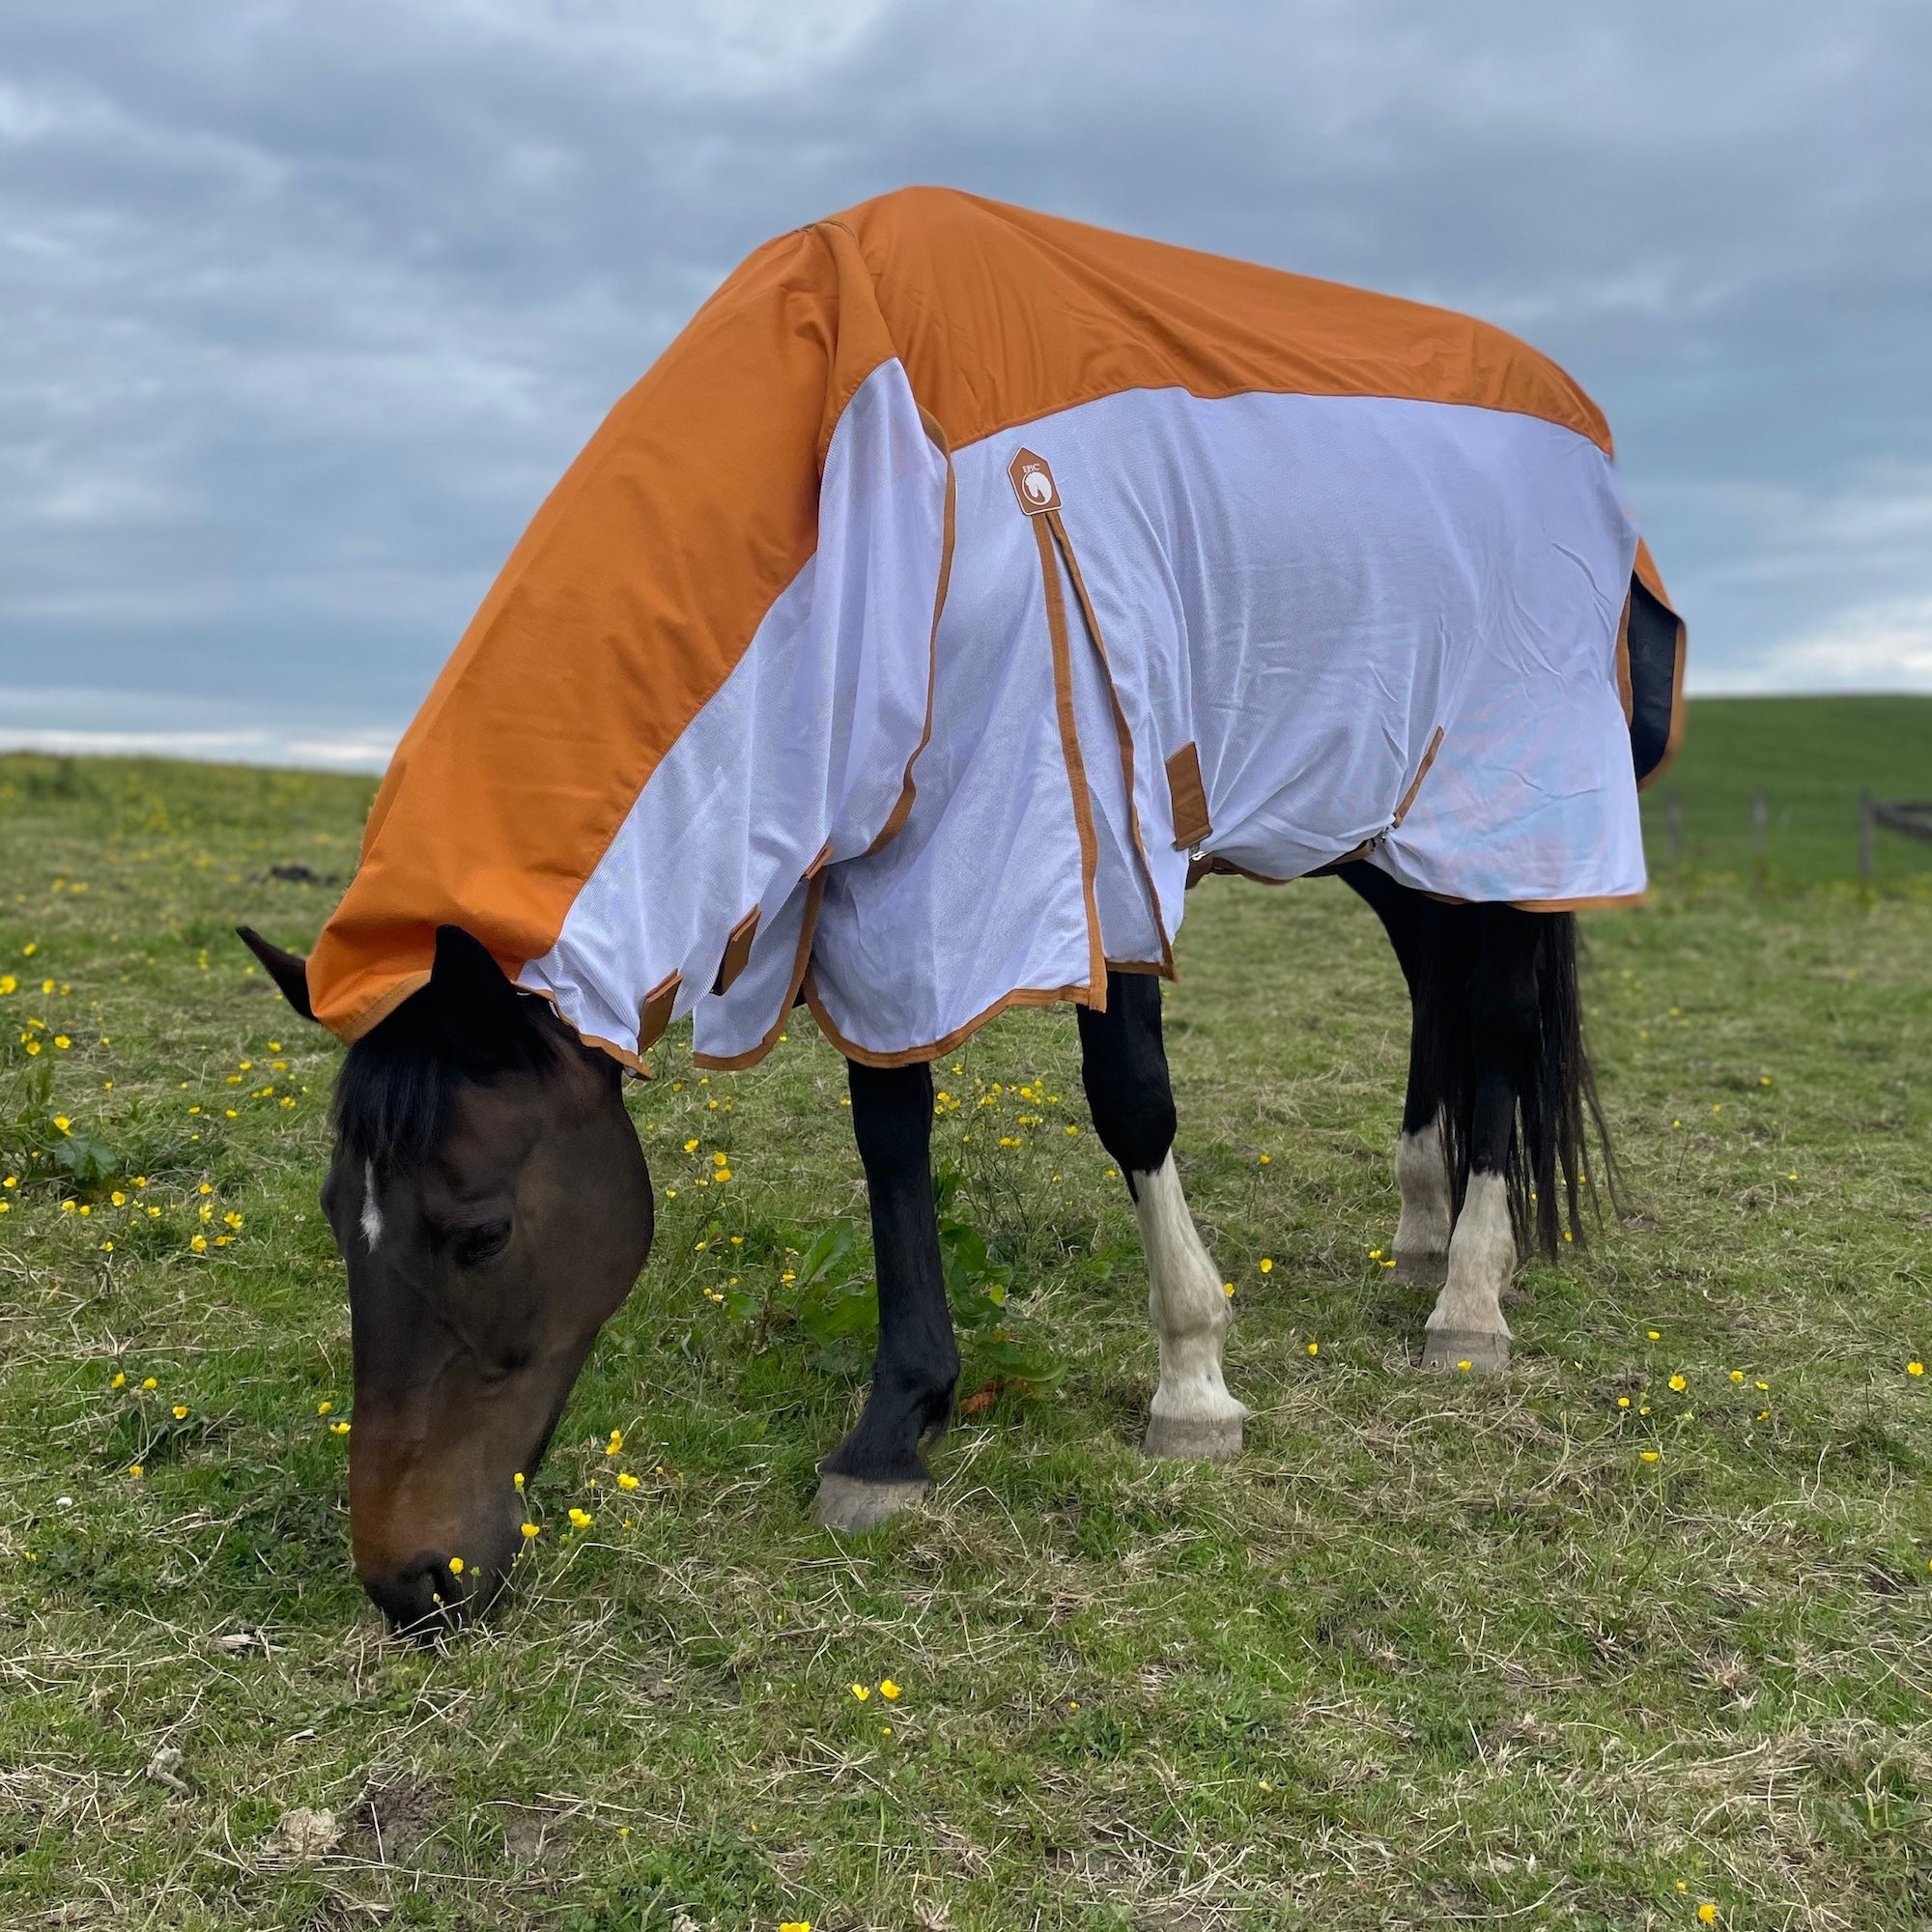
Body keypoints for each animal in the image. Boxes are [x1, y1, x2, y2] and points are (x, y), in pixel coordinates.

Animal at [239, 188, 1683, 1631]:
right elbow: (891, 1130)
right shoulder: (889, 881)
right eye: (335, 1214)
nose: (410, 1580)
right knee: (1438, 986)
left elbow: (1131, 1101)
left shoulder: (1090, 830)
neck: (881, 496)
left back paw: (1469, 1305)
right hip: (1382, 815)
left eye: (476, 1232)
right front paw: (895, 1430)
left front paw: (1192, 1384)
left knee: (1495, 1020)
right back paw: (1423, 1234)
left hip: (1513, 805)